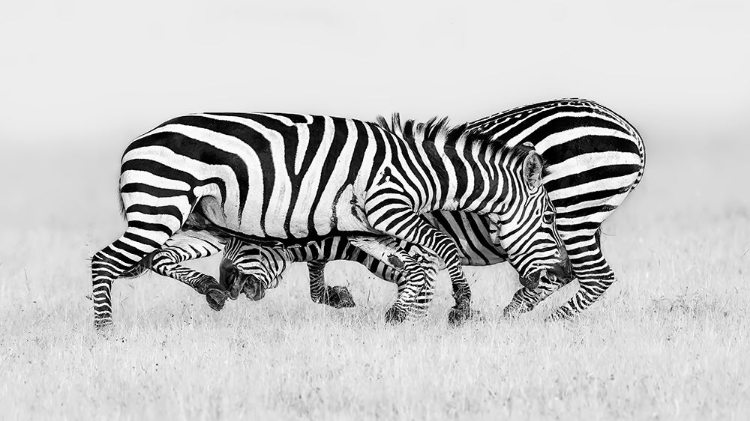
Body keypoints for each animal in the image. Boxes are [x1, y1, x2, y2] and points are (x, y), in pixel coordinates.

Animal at [95, 111, 576, 328]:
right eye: (551, 217)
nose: (564, 273)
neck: (425, 171)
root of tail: (135, 143)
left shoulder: (368, 224)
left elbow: (410, 261)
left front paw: (403, 311)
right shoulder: (388, 205)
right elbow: (442, 247)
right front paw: (459, 304)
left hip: (198, 219)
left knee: (158, 258)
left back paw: (212, 289)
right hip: (161, 207)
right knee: (106, 261)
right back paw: (105, 332)